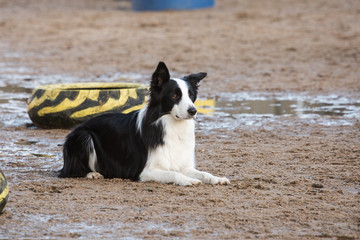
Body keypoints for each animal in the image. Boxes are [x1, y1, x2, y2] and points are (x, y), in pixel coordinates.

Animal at [58, 62, 228, 186]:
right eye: (174, 96)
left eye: (191, 95)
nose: (193, 111)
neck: (171, 125)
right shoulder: (144, 171)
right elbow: (173, 173)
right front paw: (189, 180)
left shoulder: (184, 165)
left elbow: (202, 172)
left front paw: (216, 178)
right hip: (84, 136)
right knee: (71, 171)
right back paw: (92, 173)